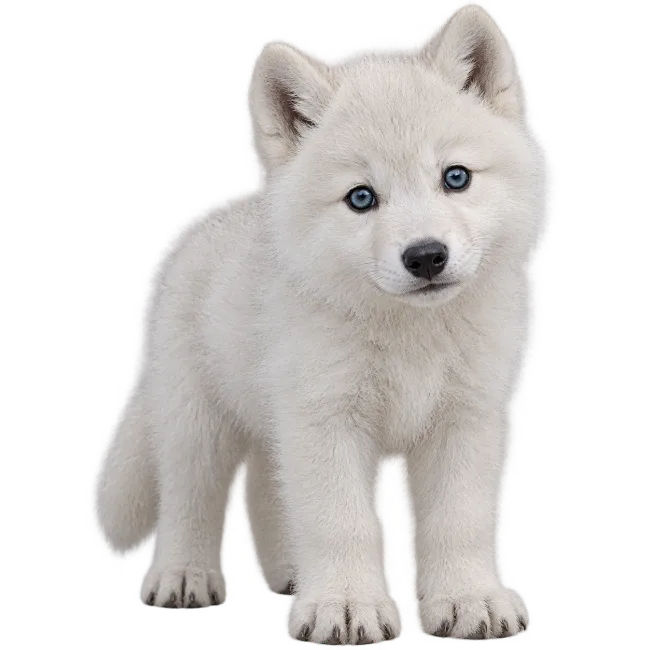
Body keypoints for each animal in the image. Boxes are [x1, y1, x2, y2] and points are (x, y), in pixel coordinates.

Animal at [88, 0, 557, 643]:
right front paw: (347, 608)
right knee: (191, 498)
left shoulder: (469, 417)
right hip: (196, 417)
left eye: (455, 177)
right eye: (361, 198)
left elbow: (460, 519)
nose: (426, 256)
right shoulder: (326, 416)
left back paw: (288, 574)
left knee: (265, 487)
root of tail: (196, 225)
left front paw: (469, 603)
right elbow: (341, 521)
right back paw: (183, 577)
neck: (409, 334)